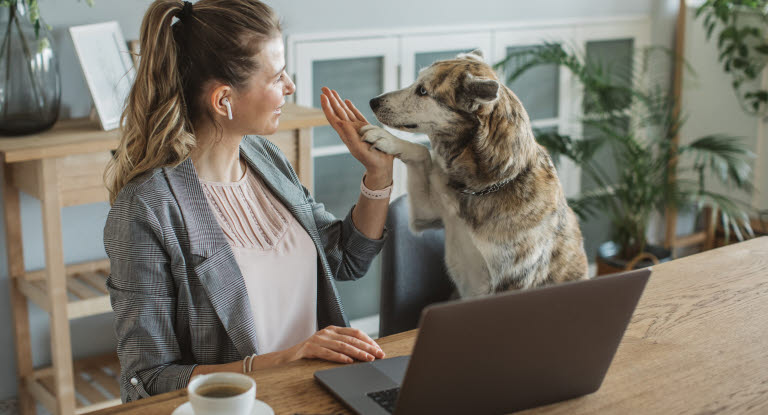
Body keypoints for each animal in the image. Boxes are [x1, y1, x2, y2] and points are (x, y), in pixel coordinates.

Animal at [364, 50, 592, 298]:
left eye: (422, 91)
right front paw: (388, 140)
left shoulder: (511, 283)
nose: (373, 102)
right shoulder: (426, 214)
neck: (482, 187)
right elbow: (422, 152)